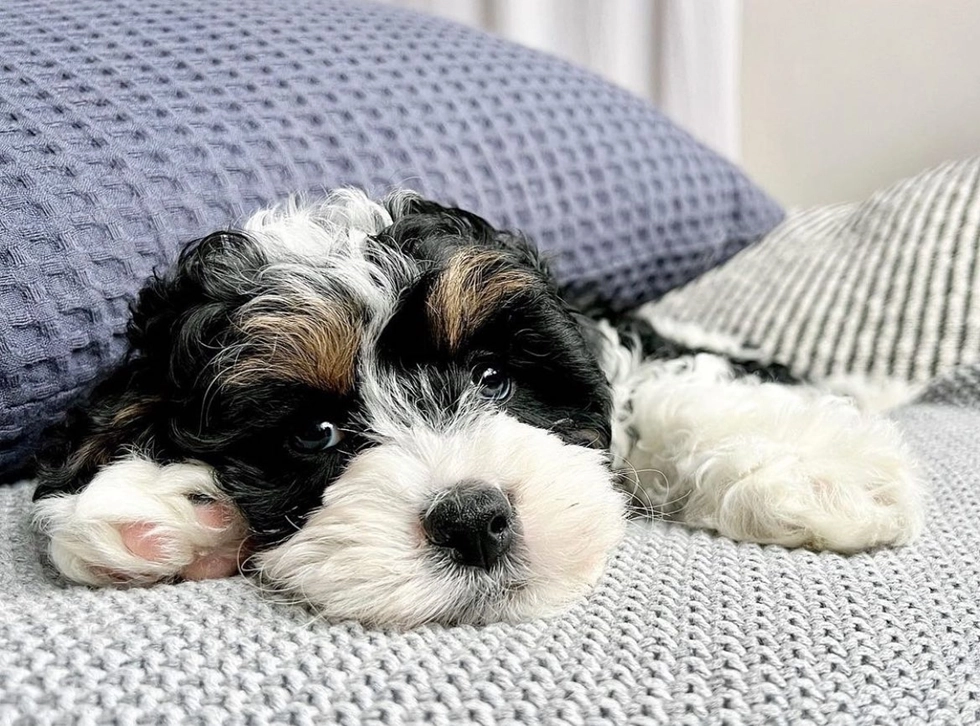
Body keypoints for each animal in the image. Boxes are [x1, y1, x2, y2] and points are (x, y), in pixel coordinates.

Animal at [26, 191, 924, 628]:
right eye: (314, 433)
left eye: (492, 379)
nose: (474, 520)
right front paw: (162, 509)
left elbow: (657, 389)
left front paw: (823, 471)